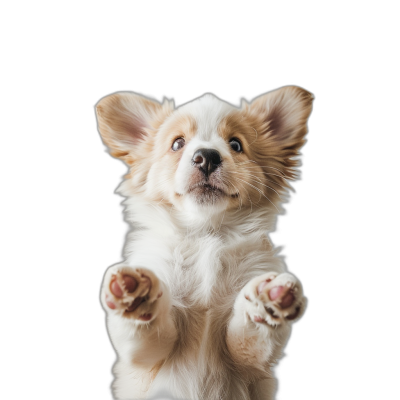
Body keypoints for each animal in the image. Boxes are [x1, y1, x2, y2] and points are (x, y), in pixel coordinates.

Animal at [95, 86, 314, 398]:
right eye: (177, 144)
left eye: (235, 144)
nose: (206, 156)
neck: (206, 235)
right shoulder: (149, 352)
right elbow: (145, 329)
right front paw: (134, 293)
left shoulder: (249, 356)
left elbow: (252, 330)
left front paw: (267, 300)